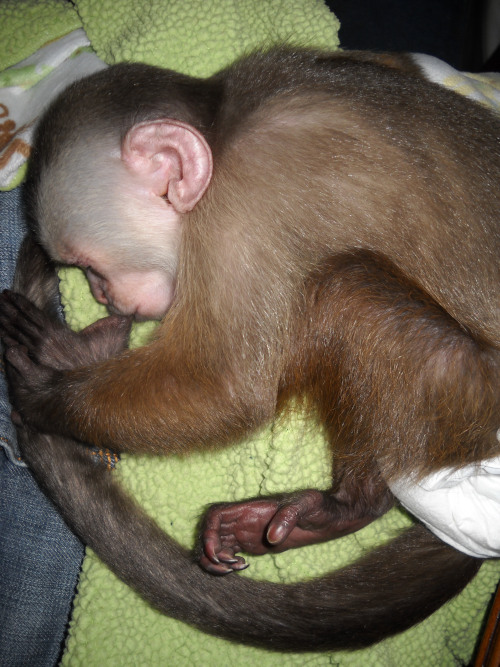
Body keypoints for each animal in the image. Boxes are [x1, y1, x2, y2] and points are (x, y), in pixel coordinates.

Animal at [0, 51, 498, 652]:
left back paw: (351, 504)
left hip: (473, 399)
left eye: (90, 266)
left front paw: (43, 394)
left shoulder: (243, 204)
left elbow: (224, 390)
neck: (225, 125)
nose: (101, 294)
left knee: (342, 289)